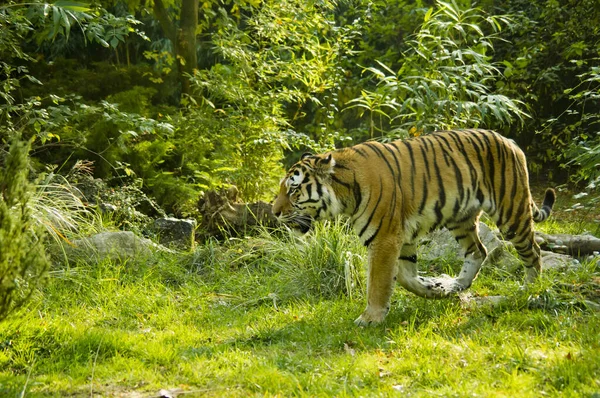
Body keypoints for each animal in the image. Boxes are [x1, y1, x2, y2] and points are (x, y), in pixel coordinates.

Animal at [274, 129, 556, 324]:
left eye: (293, 189)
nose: (275, 213)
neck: (344, 193)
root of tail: (509, 141)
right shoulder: (402, 237)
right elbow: (405, 277)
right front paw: (434, 289)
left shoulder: (384, 238)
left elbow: (378, 282)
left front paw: (370, 318)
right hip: (460, 218)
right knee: (479, 251)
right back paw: (456, 285)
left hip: (511, 212)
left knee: (533, 252)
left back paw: (529, 290)